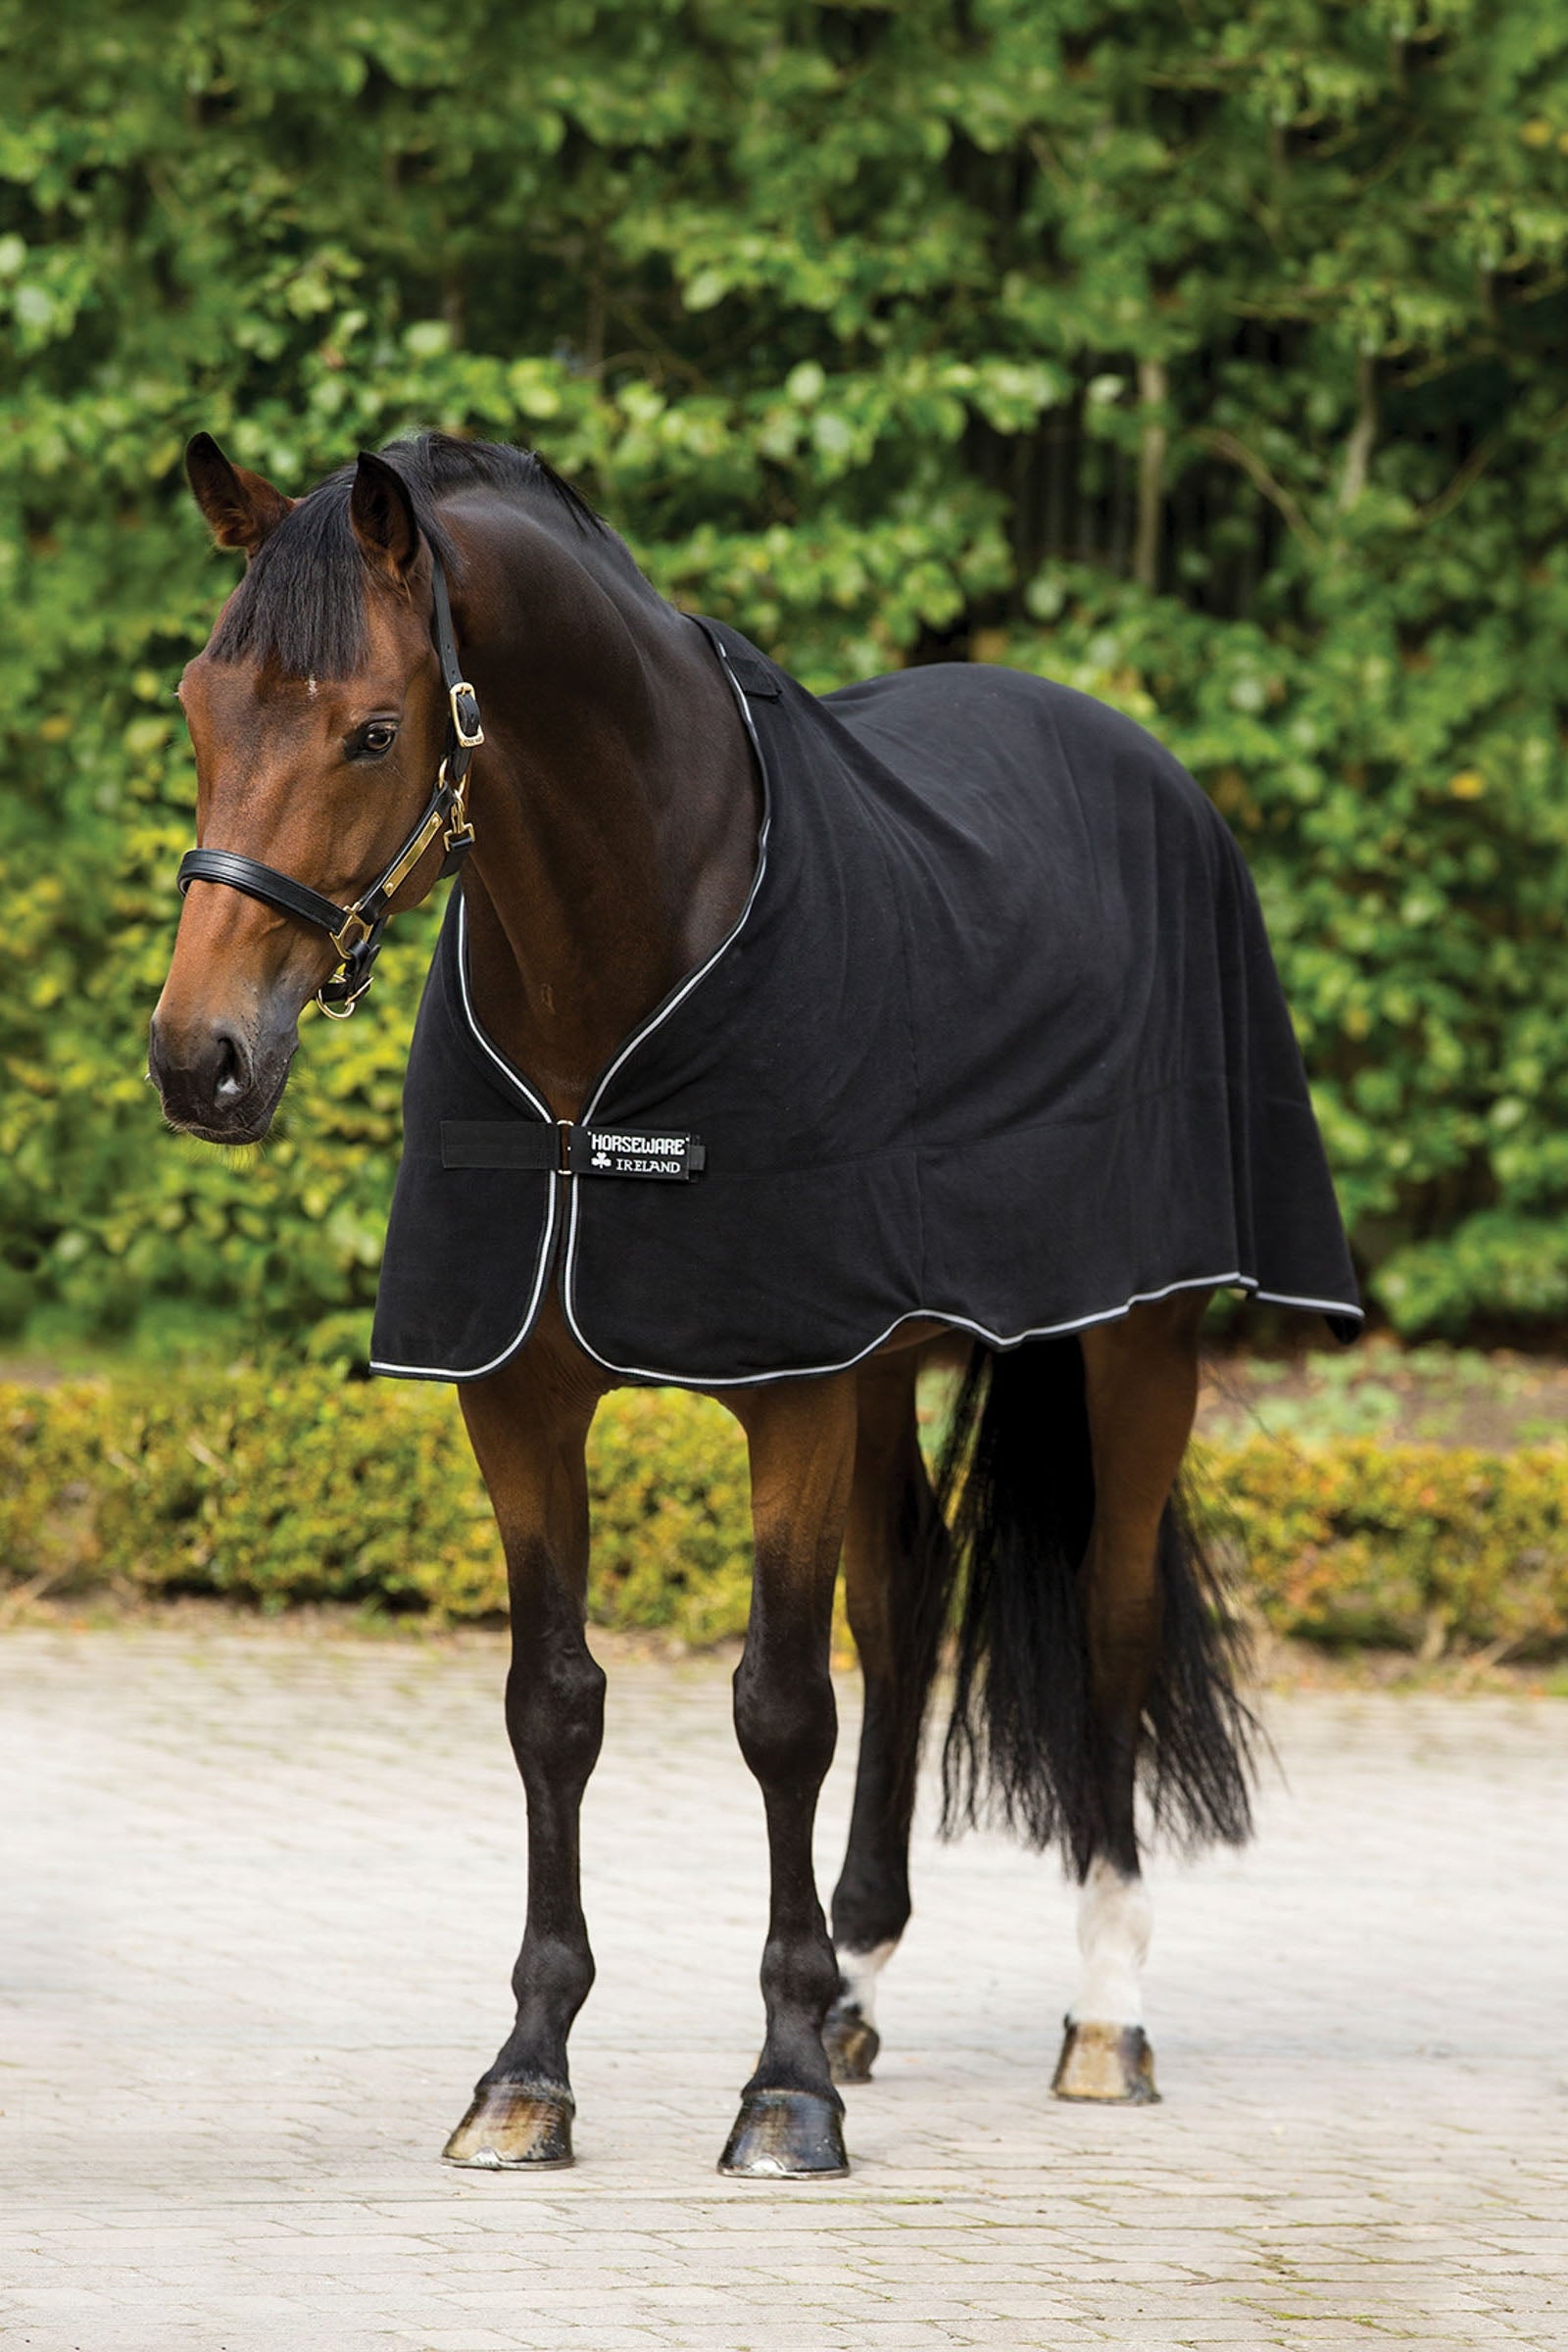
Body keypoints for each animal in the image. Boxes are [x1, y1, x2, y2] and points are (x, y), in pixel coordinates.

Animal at [149, 431, 1358, 2179]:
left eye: (374, 728)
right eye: (198, 706)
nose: (203, 1062)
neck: (619, 985)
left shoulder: (787, 1388)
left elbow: (782, 1710)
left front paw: (779, 2091)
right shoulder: (525, 1395)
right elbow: (554, 1709)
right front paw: (528, 2076)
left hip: (1137, 1343)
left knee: (1110, 1623)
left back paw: (1102, 2020)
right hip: (887, 1360)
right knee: (909, 1600)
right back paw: (859, 1984)